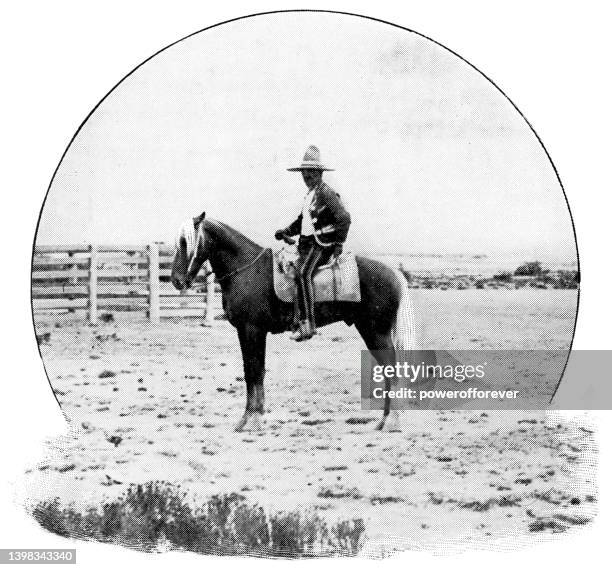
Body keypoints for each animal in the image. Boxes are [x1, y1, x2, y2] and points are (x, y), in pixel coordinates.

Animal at [170, 212, 424, 430]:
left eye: (186, 242)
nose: (177, 280)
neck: (247, 269)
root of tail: (394, 273)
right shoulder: (247, 331)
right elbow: (254, 371)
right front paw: (251, 418)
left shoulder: (252, 329)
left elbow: (254, 371)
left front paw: (252, 420)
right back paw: (384, 421)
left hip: (375, 332)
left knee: (392, 370)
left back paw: (391, 421)